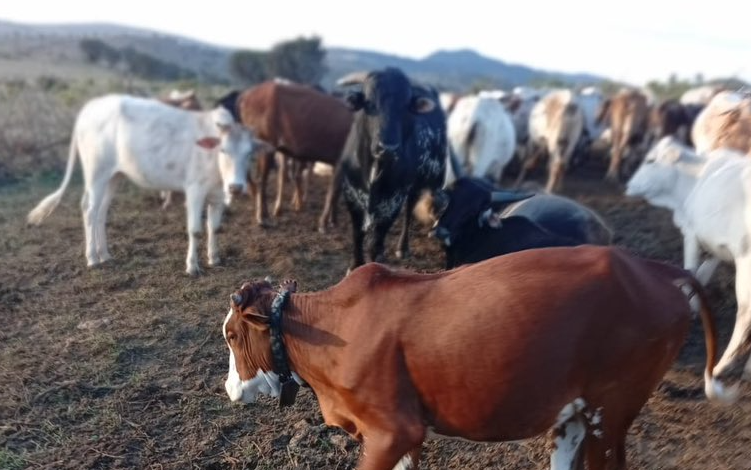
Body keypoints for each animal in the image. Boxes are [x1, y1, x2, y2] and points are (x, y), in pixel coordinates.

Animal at [27, 94, 259, 275]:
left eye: (249, 154)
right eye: (223, 150)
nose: (236, 187)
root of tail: (91, 107)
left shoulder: (218, 195)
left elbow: (215, 227)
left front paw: (215, 258)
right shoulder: (195, 189)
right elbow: (195, 230)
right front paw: (192, 266)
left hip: (114, 176)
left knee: (101, 211)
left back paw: (105, 255)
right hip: (96, 173)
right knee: (89, 210)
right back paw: (92, 258)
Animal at [222, 246, 735, 470]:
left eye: (229, 335)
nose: (228, 388)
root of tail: (657, 270)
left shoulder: (393, 429)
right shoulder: (399, 434)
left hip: (611, 410)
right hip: (575, 412)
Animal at [230, 80, 353, 227]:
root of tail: (245, 95)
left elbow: (336, 192)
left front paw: (333, 220)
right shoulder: (341, 162)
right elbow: (333, 192)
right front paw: (324, 222)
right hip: (266, 147)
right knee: (261, 180)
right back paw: (262, 217)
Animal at [320, 67, 447, 271]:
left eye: (406, 107)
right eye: (369, 103)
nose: (388, 148)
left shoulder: (393, 200)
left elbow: (377, 239)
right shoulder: (351, 195)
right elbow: (357, 234)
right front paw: (355, 265)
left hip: (423, 183)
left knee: (410, 210)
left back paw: (402, 248)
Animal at [626, 135, 751, 383]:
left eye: (650, 160)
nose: (628, 186)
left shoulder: (691, 234)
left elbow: (691, 271)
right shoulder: (713, 246)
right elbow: (701, 275)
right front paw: (694, 307)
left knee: (745, 314)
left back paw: (722, 367)